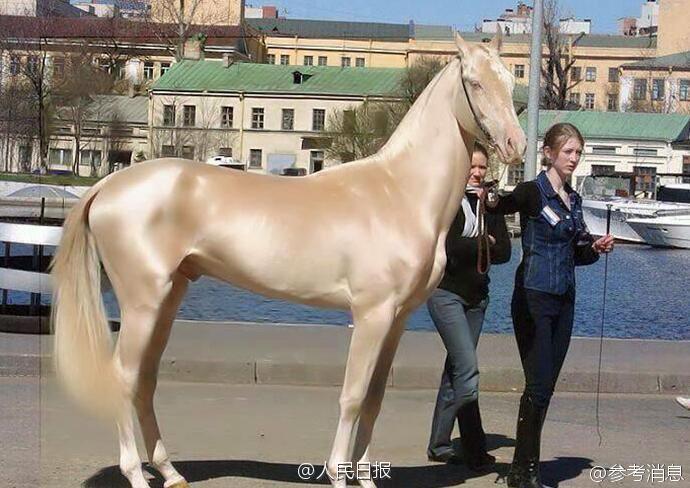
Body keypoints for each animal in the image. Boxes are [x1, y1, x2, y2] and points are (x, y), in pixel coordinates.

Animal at [51, 32, 525, 488]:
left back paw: (170, 473)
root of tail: (108, 185)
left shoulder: (397, 319)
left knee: (145, 381)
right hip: (143, 302)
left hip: (167, 300)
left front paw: (365, 477)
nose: (516, 145)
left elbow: (374, 399)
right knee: (123, 378)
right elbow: (352, 396)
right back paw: (136, 474)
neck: (399, 192)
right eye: (475, 83)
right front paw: (338, 475)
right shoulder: (371, 314)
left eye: (510, 79)